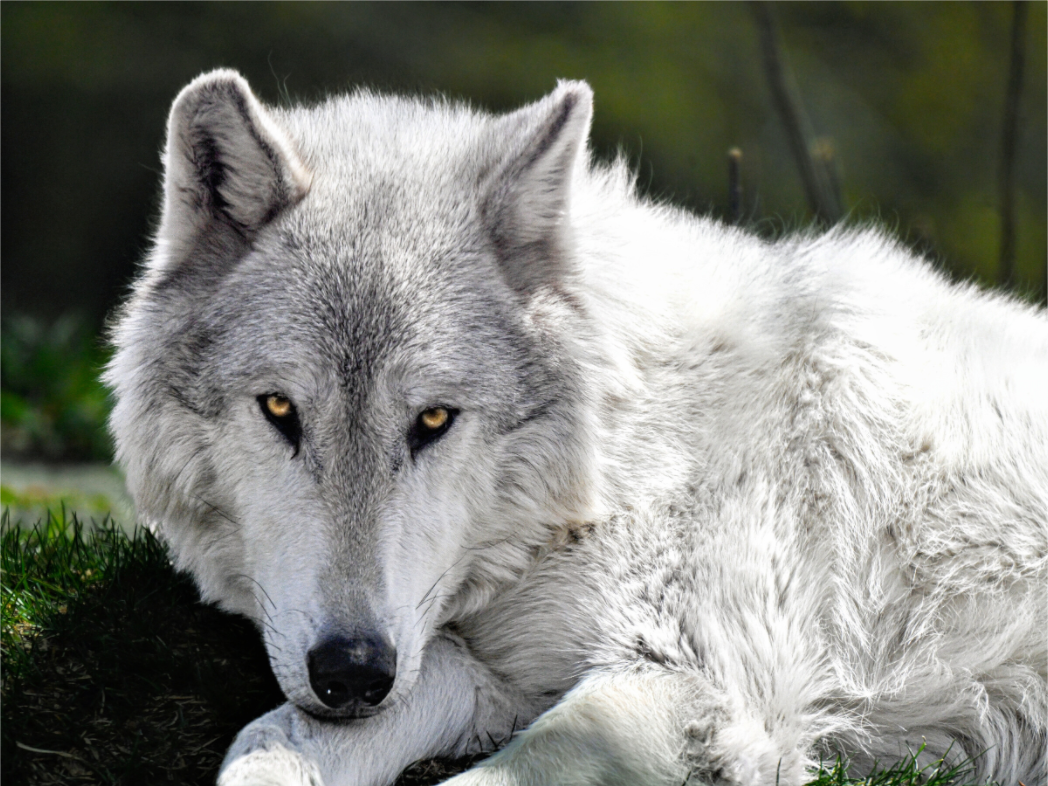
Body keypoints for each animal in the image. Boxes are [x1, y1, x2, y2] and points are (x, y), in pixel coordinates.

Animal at [107, 68, 1048, 786]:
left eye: (434, 418)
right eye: (279, 410)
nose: (351, 674)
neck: (613, 466)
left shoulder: (701, 693)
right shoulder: (475, 663)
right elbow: (271, 741)